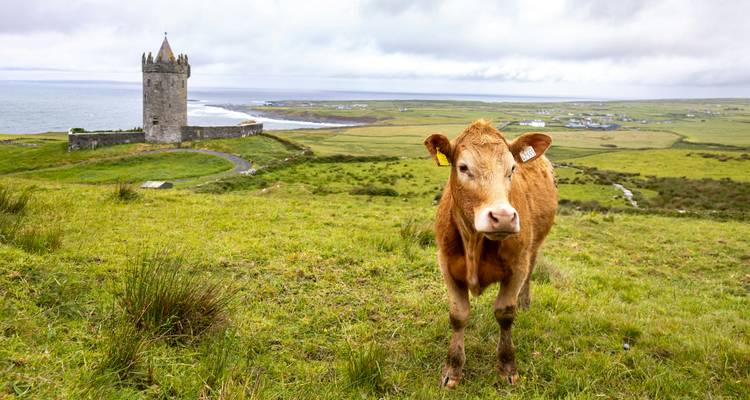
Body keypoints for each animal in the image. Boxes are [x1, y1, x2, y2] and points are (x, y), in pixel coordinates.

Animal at [423, 119, 557, 388]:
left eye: (512, 168)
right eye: (463, 167)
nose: (503, 217)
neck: (474, 243)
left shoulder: (517, 266)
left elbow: (504, 313)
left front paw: (507, 366)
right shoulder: (446, 264)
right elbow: (458, 315)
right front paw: (452, 369)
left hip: (535, 247)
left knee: (530, 273)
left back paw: (525, 302)